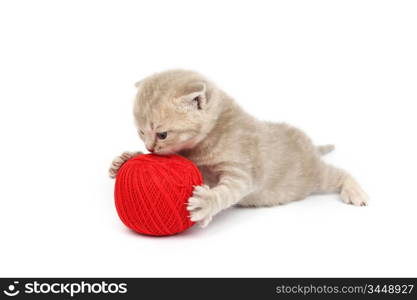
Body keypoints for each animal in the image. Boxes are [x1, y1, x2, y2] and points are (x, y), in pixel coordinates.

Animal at [108, 68, 368, 227]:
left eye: (162, 134)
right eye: (141, 132)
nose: (150, 148)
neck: (216, 129)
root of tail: (310, 144)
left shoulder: (242, 171)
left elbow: (228, 191)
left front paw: (206, 204)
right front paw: (125, 159)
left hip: (312, 177)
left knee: (339, 173)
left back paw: (356, 193)